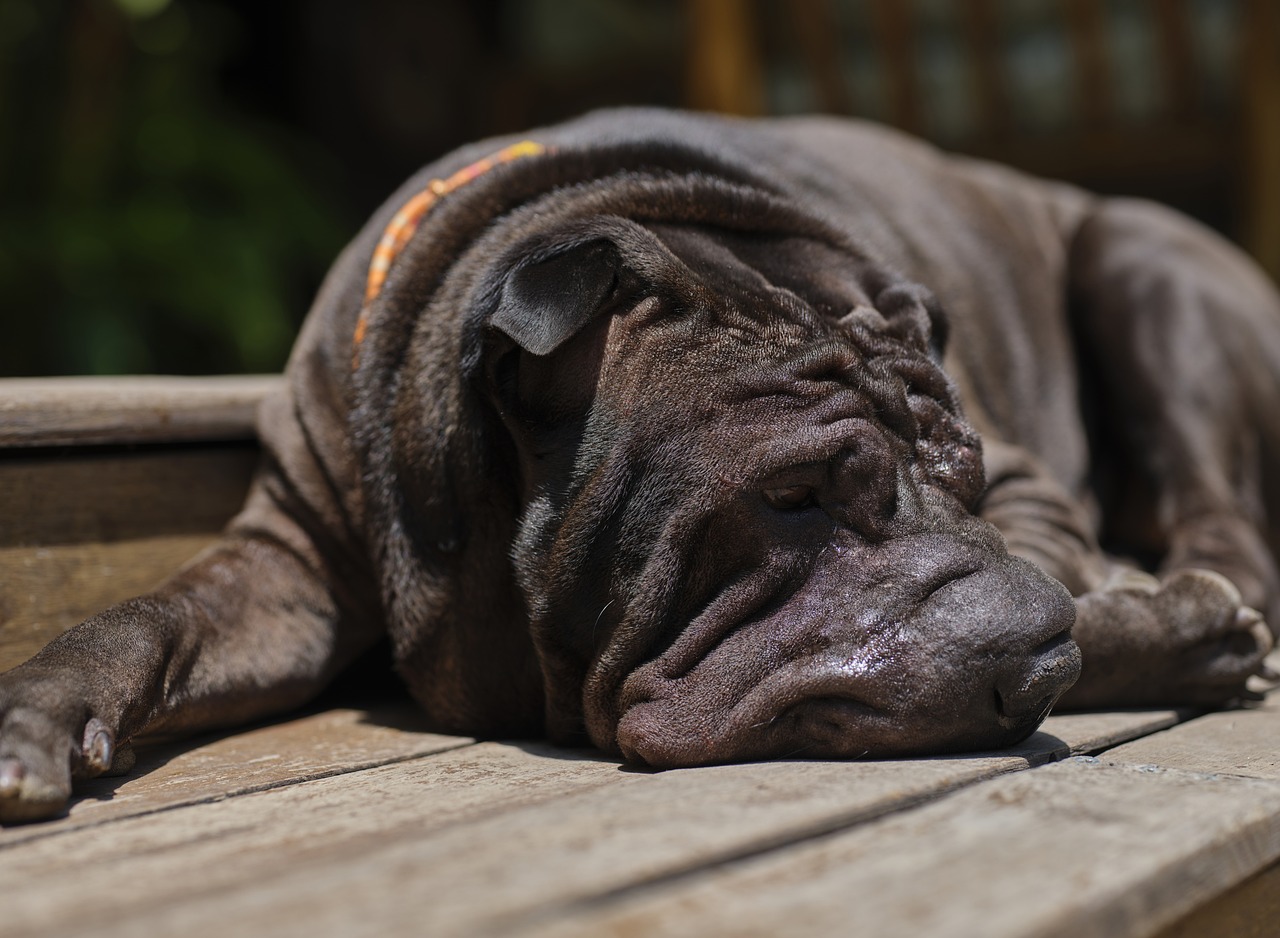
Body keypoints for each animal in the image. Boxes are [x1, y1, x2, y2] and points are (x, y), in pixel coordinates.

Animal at [2, 110, 1280, 818]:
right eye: (790, 496)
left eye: (960, 474)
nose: (1026, 648)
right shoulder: (288, 565)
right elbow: (145, 614)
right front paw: (35, 712)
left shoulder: (1025, 475)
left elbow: (1062, 564)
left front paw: (1163, 627)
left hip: (1142, 259)